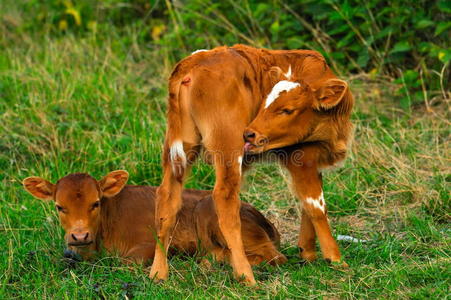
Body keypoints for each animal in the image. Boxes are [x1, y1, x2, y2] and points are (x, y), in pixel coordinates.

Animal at [22, 170, 286, 266]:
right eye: (59, 207)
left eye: (95, 203)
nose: (79, 235)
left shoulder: (150, 243)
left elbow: (126, 262)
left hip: (210, 210)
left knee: (273, 257)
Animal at [154, 44, 354, 284]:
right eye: (264, 104)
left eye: (287, 109)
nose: (250, 133)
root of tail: (194, 61)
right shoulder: (301, 156)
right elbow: (316, 206)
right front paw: (336, 260)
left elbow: (306, 203)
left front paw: (307, 254)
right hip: (228, 145)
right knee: (225, 199)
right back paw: (246, 275)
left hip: (181, 147)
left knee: (167, 197)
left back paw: (158, 273)